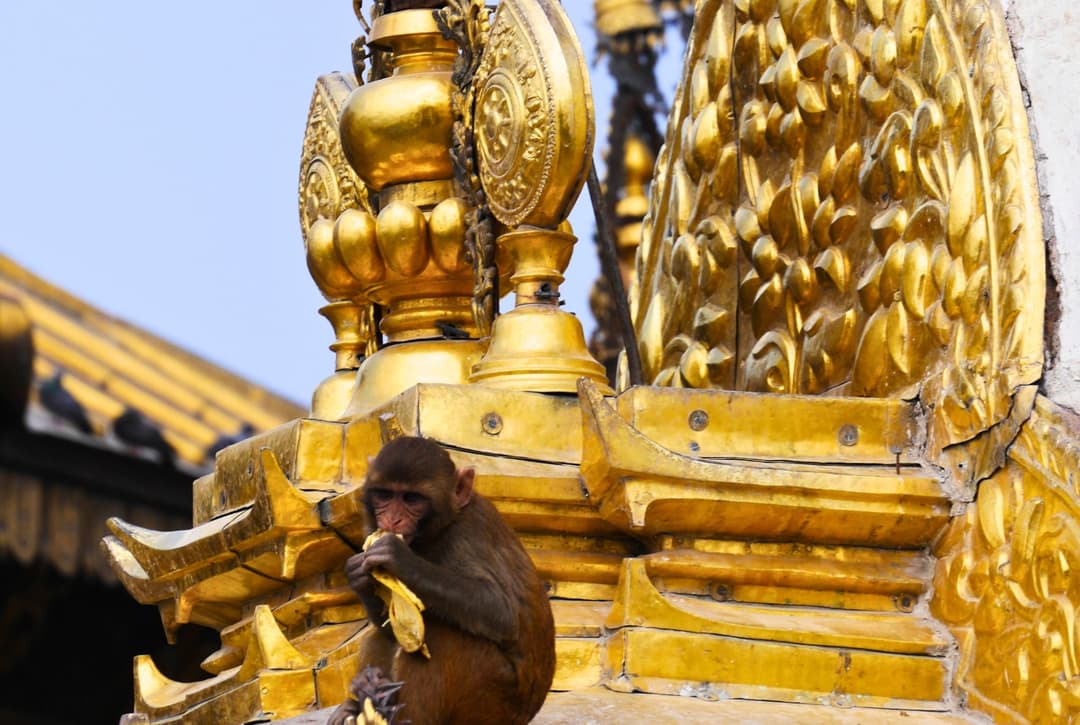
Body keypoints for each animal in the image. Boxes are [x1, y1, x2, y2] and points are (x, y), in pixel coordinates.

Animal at [329, 436, 556, 725]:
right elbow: (390, 627)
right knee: (385, 636)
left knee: (442, 636)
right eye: (384, 495)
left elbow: (501, 612)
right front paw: (357, 574)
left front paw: (400, 559)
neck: (433, 534)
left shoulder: (468, 531)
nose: (391, 520)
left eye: (412, 498)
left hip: (493, 704)